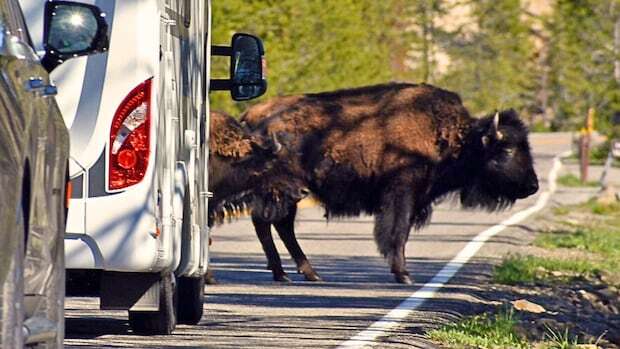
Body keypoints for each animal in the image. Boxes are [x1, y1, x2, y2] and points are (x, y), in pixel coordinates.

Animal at [240, 82, 536, 282]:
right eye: (506, 150)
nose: (533, 186)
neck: (454, 136)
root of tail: (250, 117)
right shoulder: (403, 193)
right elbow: (398, 231)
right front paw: (403, 274)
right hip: (283, 190)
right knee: (269, 222)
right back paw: (288, 273)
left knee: (277, 224)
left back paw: (303, 273)